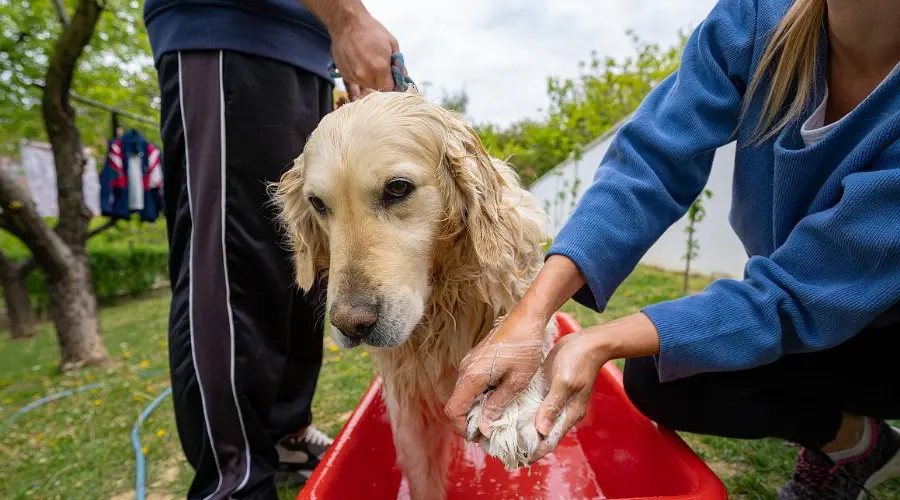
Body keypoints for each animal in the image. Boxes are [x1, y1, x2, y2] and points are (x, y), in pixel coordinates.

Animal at [272, 91, 556, 500]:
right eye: (318, 204)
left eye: (397, 188)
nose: (351, 325)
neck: (442, 292)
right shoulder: (408, 408)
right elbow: (422, 478)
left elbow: (522, 326)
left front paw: (511, 404)